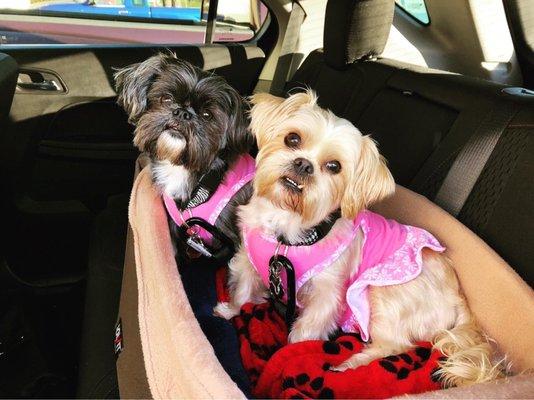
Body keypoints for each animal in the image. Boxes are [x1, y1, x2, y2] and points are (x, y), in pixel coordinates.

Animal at [216, 91, 504, 388]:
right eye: (292, 139)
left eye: (334, 166)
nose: (303, 164)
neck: (288, 234)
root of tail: (458, 296)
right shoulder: (249, 259)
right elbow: (243, 290)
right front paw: (229, 310)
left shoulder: (327, 296)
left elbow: (305, 331)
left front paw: (290, 353)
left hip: (382, 291)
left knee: (394, 345)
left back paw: (348, 365)